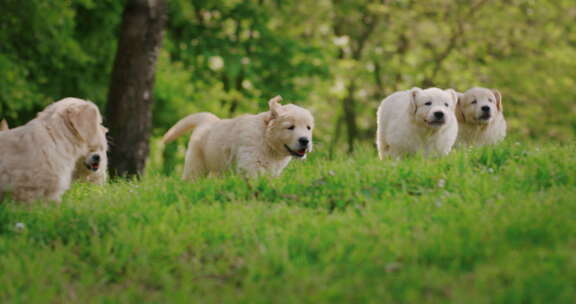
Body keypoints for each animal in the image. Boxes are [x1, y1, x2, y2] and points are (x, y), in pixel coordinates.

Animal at [162, 96, 316, 179]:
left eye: (308, 128)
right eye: (290, 127)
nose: (305, 140)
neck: (266, 140)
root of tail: (209, 120)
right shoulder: (250, 162)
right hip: (196, 163)